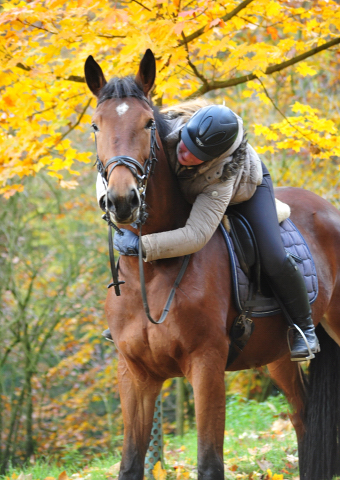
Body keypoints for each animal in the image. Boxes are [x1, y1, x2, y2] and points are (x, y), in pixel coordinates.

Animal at [83, 48, 340, 480]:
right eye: (96, 126)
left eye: (148, 123)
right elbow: (131, 464)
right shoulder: (135, 375)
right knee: (304, 417)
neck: (152, 271)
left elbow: (209, 463)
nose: (121, 201)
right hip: (278, 356)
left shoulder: (206, 366)